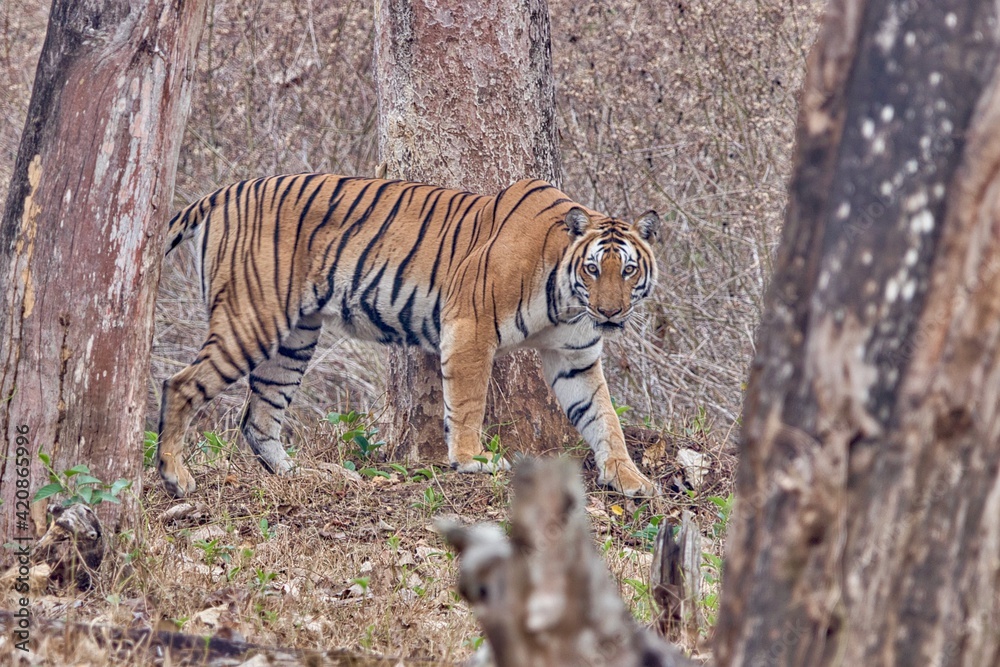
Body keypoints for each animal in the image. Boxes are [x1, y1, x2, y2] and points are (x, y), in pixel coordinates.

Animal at [158, 174, 660, 498]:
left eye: (628, 270)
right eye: (593, 269)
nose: (609, 312)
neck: (568, 298)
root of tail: (220, 193)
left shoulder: (575, 357)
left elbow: (603, 418)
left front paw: (632, 480)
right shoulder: (470, 326)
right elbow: (468, 402)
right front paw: (472, 460)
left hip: (294, 337)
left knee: (259, 417)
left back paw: (306, 475)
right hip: (252, 320)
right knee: (179, 384)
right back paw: (176, 477)